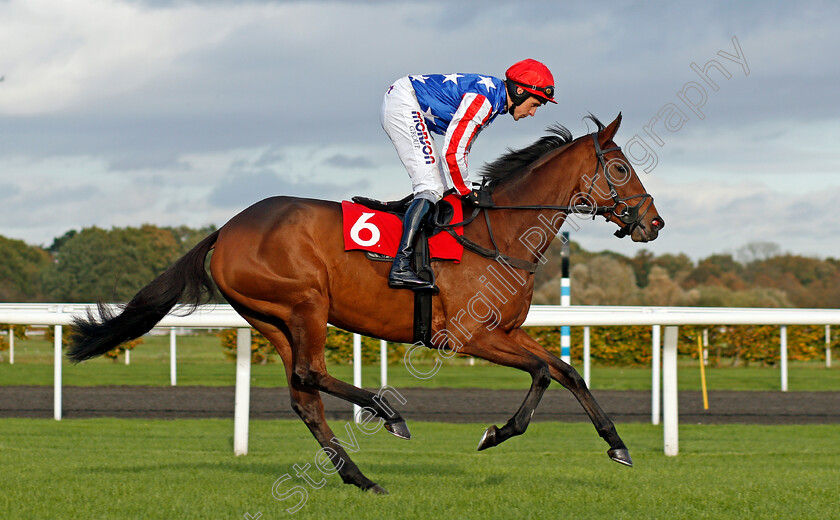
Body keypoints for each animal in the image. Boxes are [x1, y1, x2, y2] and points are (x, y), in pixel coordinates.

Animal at [69, 111, 664, 494]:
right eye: (619, 168)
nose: (653, 222)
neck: (499, 236)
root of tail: (227, 229)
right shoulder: (468, 336)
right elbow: (545, 372)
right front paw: (497, 432)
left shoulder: (506, 332)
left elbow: (565, 371)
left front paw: (615, 445)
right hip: (305, 302)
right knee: (310, 375)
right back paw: (387, 415)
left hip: (271, 318)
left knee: (303, 395)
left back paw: (360, 477)